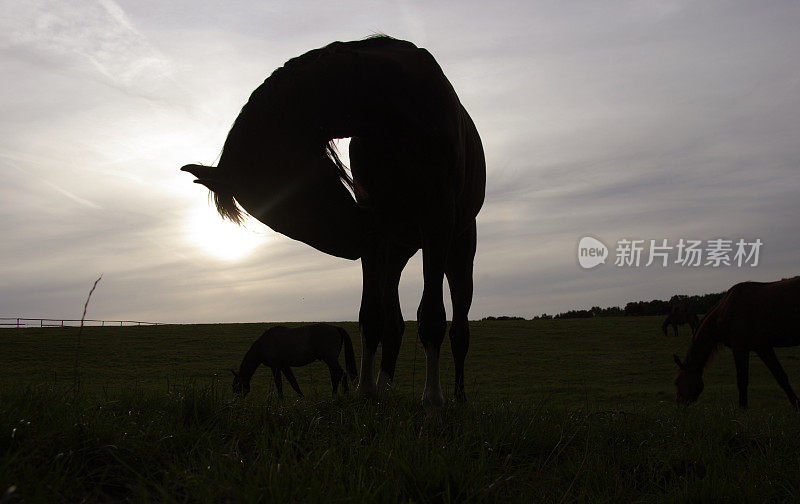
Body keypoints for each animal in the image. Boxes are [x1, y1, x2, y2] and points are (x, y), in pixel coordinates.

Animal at [186, 35, 488, 406]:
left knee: (459, 327)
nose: (355, 241)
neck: (391, 101)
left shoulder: (435, 220)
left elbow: (431, 316)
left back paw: (456, 397)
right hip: (396, 251)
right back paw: (385, 388)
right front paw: (365, 391)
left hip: (457, 247)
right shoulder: (378, 233)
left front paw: (431, 398)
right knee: (394, 325)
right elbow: (371, 317)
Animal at [676, 276, 800, 410]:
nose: (679, 406)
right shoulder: (763, 347)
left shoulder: (740, 348)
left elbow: (742, 380)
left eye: (677, 382)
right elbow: (781, 377)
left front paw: (742, 409)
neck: (725, 311)